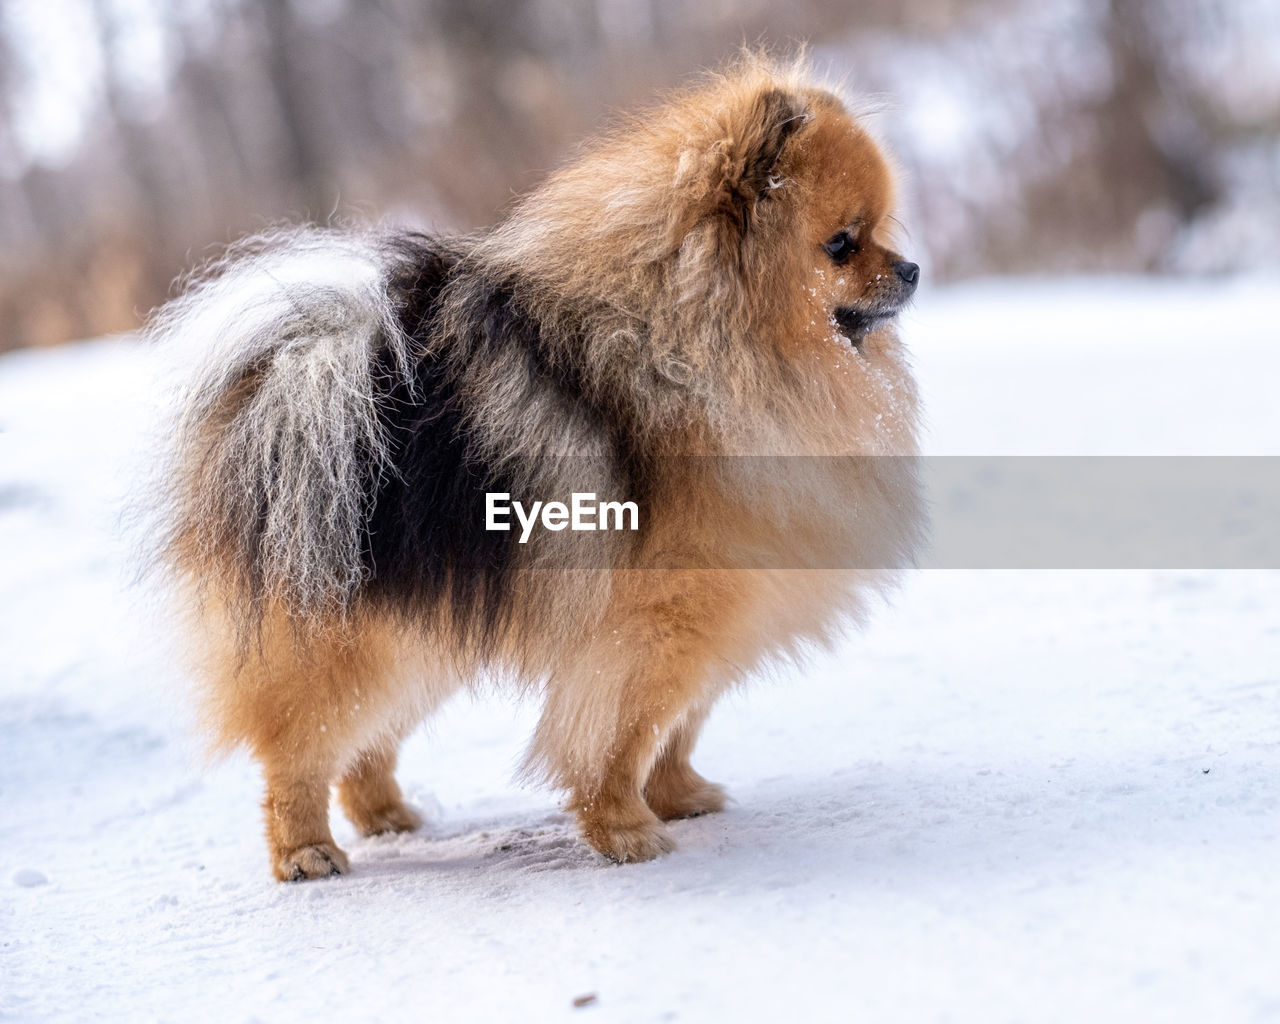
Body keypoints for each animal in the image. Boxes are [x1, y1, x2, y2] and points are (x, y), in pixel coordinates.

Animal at [149, 54, 926, 880]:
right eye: (842, 243)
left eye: (881, 232)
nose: (912, 268)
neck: (704, 348)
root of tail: (299, 383)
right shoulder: (655, 622)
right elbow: (622, 733)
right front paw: (623, 828)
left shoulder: (718, 608)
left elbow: (678, 724)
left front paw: (680, 794)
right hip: (348, 637)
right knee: (299, 748)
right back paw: (305, 851)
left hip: (418, 626)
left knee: (364, 741)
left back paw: (387, 816)